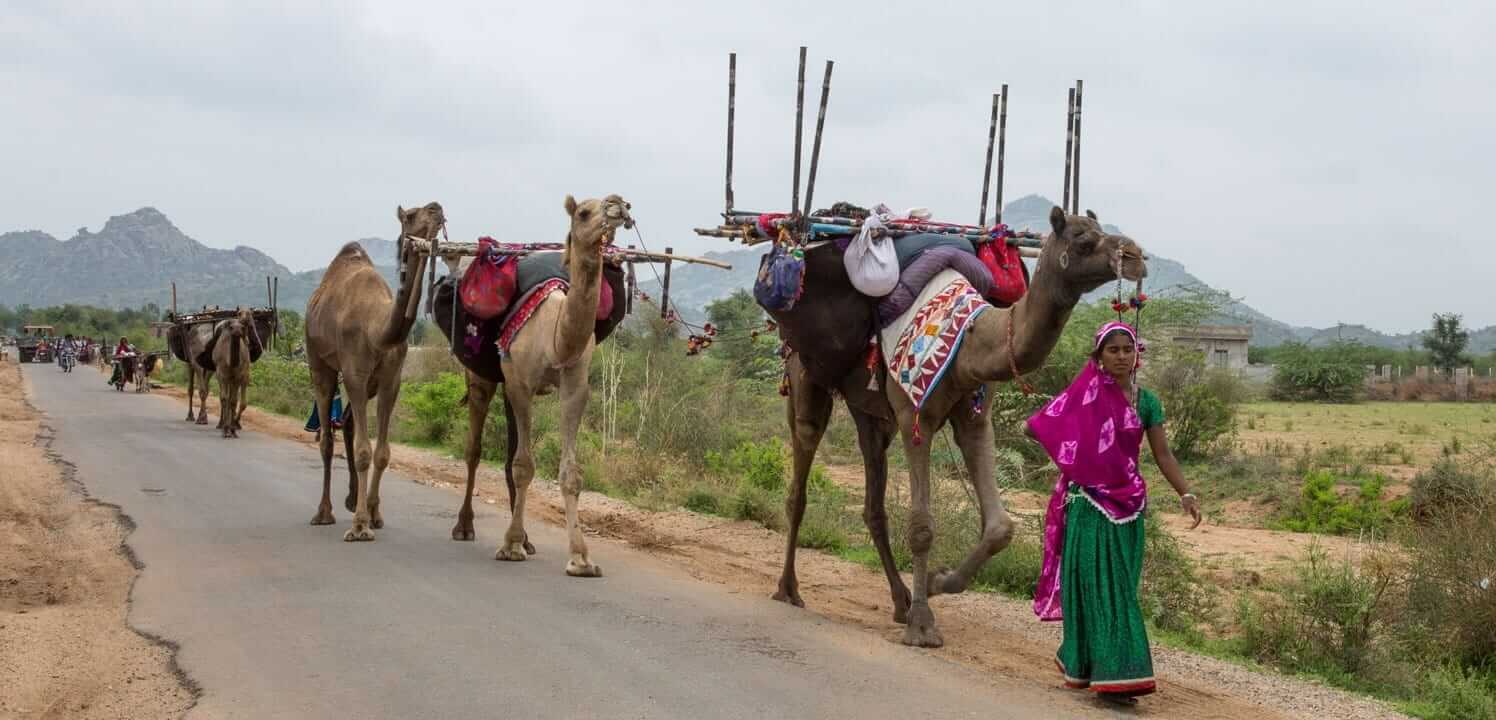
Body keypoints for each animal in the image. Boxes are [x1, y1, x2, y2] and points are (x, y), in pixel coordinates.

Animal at [209, 305, 255, 434]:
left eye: (250, 313)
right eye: (239, 313)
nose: (238, 329)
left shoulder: (243, 376)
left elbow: (241, 402)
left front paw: (235, 424)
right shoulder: (222, 374)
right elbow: (225, 398)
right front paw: (228, 425)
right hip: (221, 376)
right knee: (223, 397)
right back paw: (221, 423)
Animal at [303, 202, 439, 538]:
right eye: (411, 215)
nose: (437, 208)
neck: (378, 329)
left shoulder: (392, 382)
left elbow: (382, 452)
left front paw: (374, 513)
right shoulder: (355, 373)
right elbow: (364, 451)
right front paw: (361, 526)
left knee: (348, 424)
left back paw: (352, 499)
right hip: (319, 362)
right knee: (327, 439)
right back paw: (324, 512)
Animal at [771, 206, 1142, 646]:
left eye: (1101, 230)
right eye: (1083, 239)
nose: (1136, 255)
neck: (969, 341)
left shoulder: (975, 417)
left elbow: (1000, 527)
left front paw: (935, 583)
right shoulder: (915, 416)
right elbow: (921, 526)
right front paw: (922, 625)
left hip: (871, 411)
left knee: (873, 498)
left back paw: (900, 600)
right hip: (807, 373)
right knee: (800, 476)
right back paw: (788, 590)